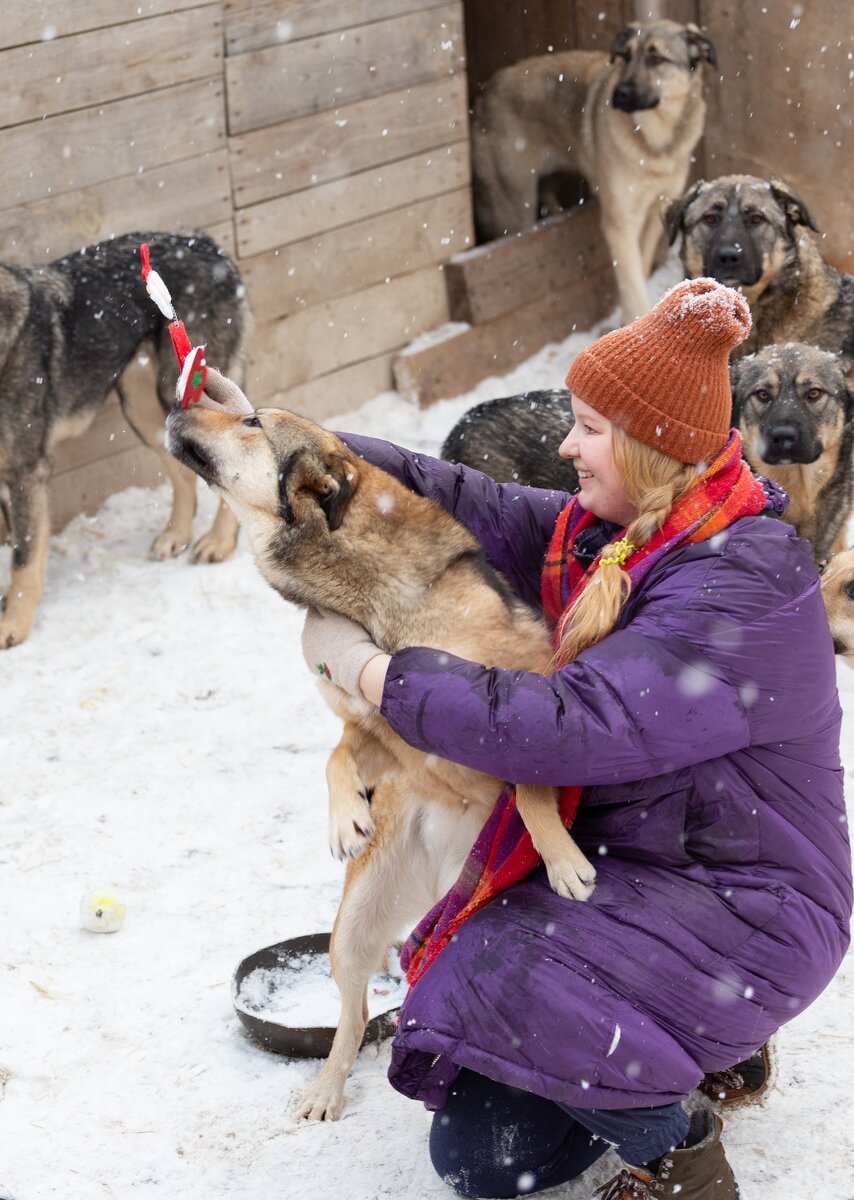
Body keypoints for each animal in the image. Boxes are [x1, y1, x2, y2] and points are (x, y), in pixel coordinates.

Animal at [0, 230, 248, 652]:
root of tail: (204, 242)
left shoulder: (25, 469)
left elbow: (24, 557)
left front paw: (12, 625)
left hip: (183, 390)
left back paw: (219, 541)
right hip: (142, 407)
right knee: (183, 475)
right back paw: (176, 536)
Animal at [165, 372, 594, 1113]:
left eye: (250, 422)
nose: (174, 403)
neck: (365, 593)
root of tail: (442, 874)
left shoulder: (532, 681)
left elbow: (533, 787)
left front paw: (561, 855)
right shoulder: (374, 723)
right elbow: (334, 756)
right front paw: (345, 818)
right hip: (351, 928)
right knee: (355, 1010)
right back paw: (327, 1086)